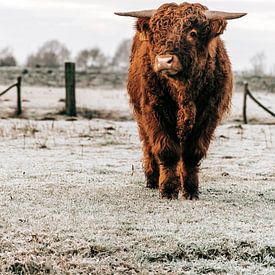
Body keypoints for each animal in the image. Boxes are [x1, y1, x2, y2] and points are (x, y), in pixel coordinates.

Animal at [115, 2, 247, 201]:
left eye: (192, 33)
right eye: (157, 34)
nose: (164, 61)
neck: (183, 91)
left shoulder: (209, 115)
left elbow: (192, 154)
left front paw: (191, 191)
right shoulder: (154, 111)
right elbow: (167, 151)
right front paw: (168, 189)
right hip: (141, 116)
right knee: (148, 146)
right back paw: (152, 180)